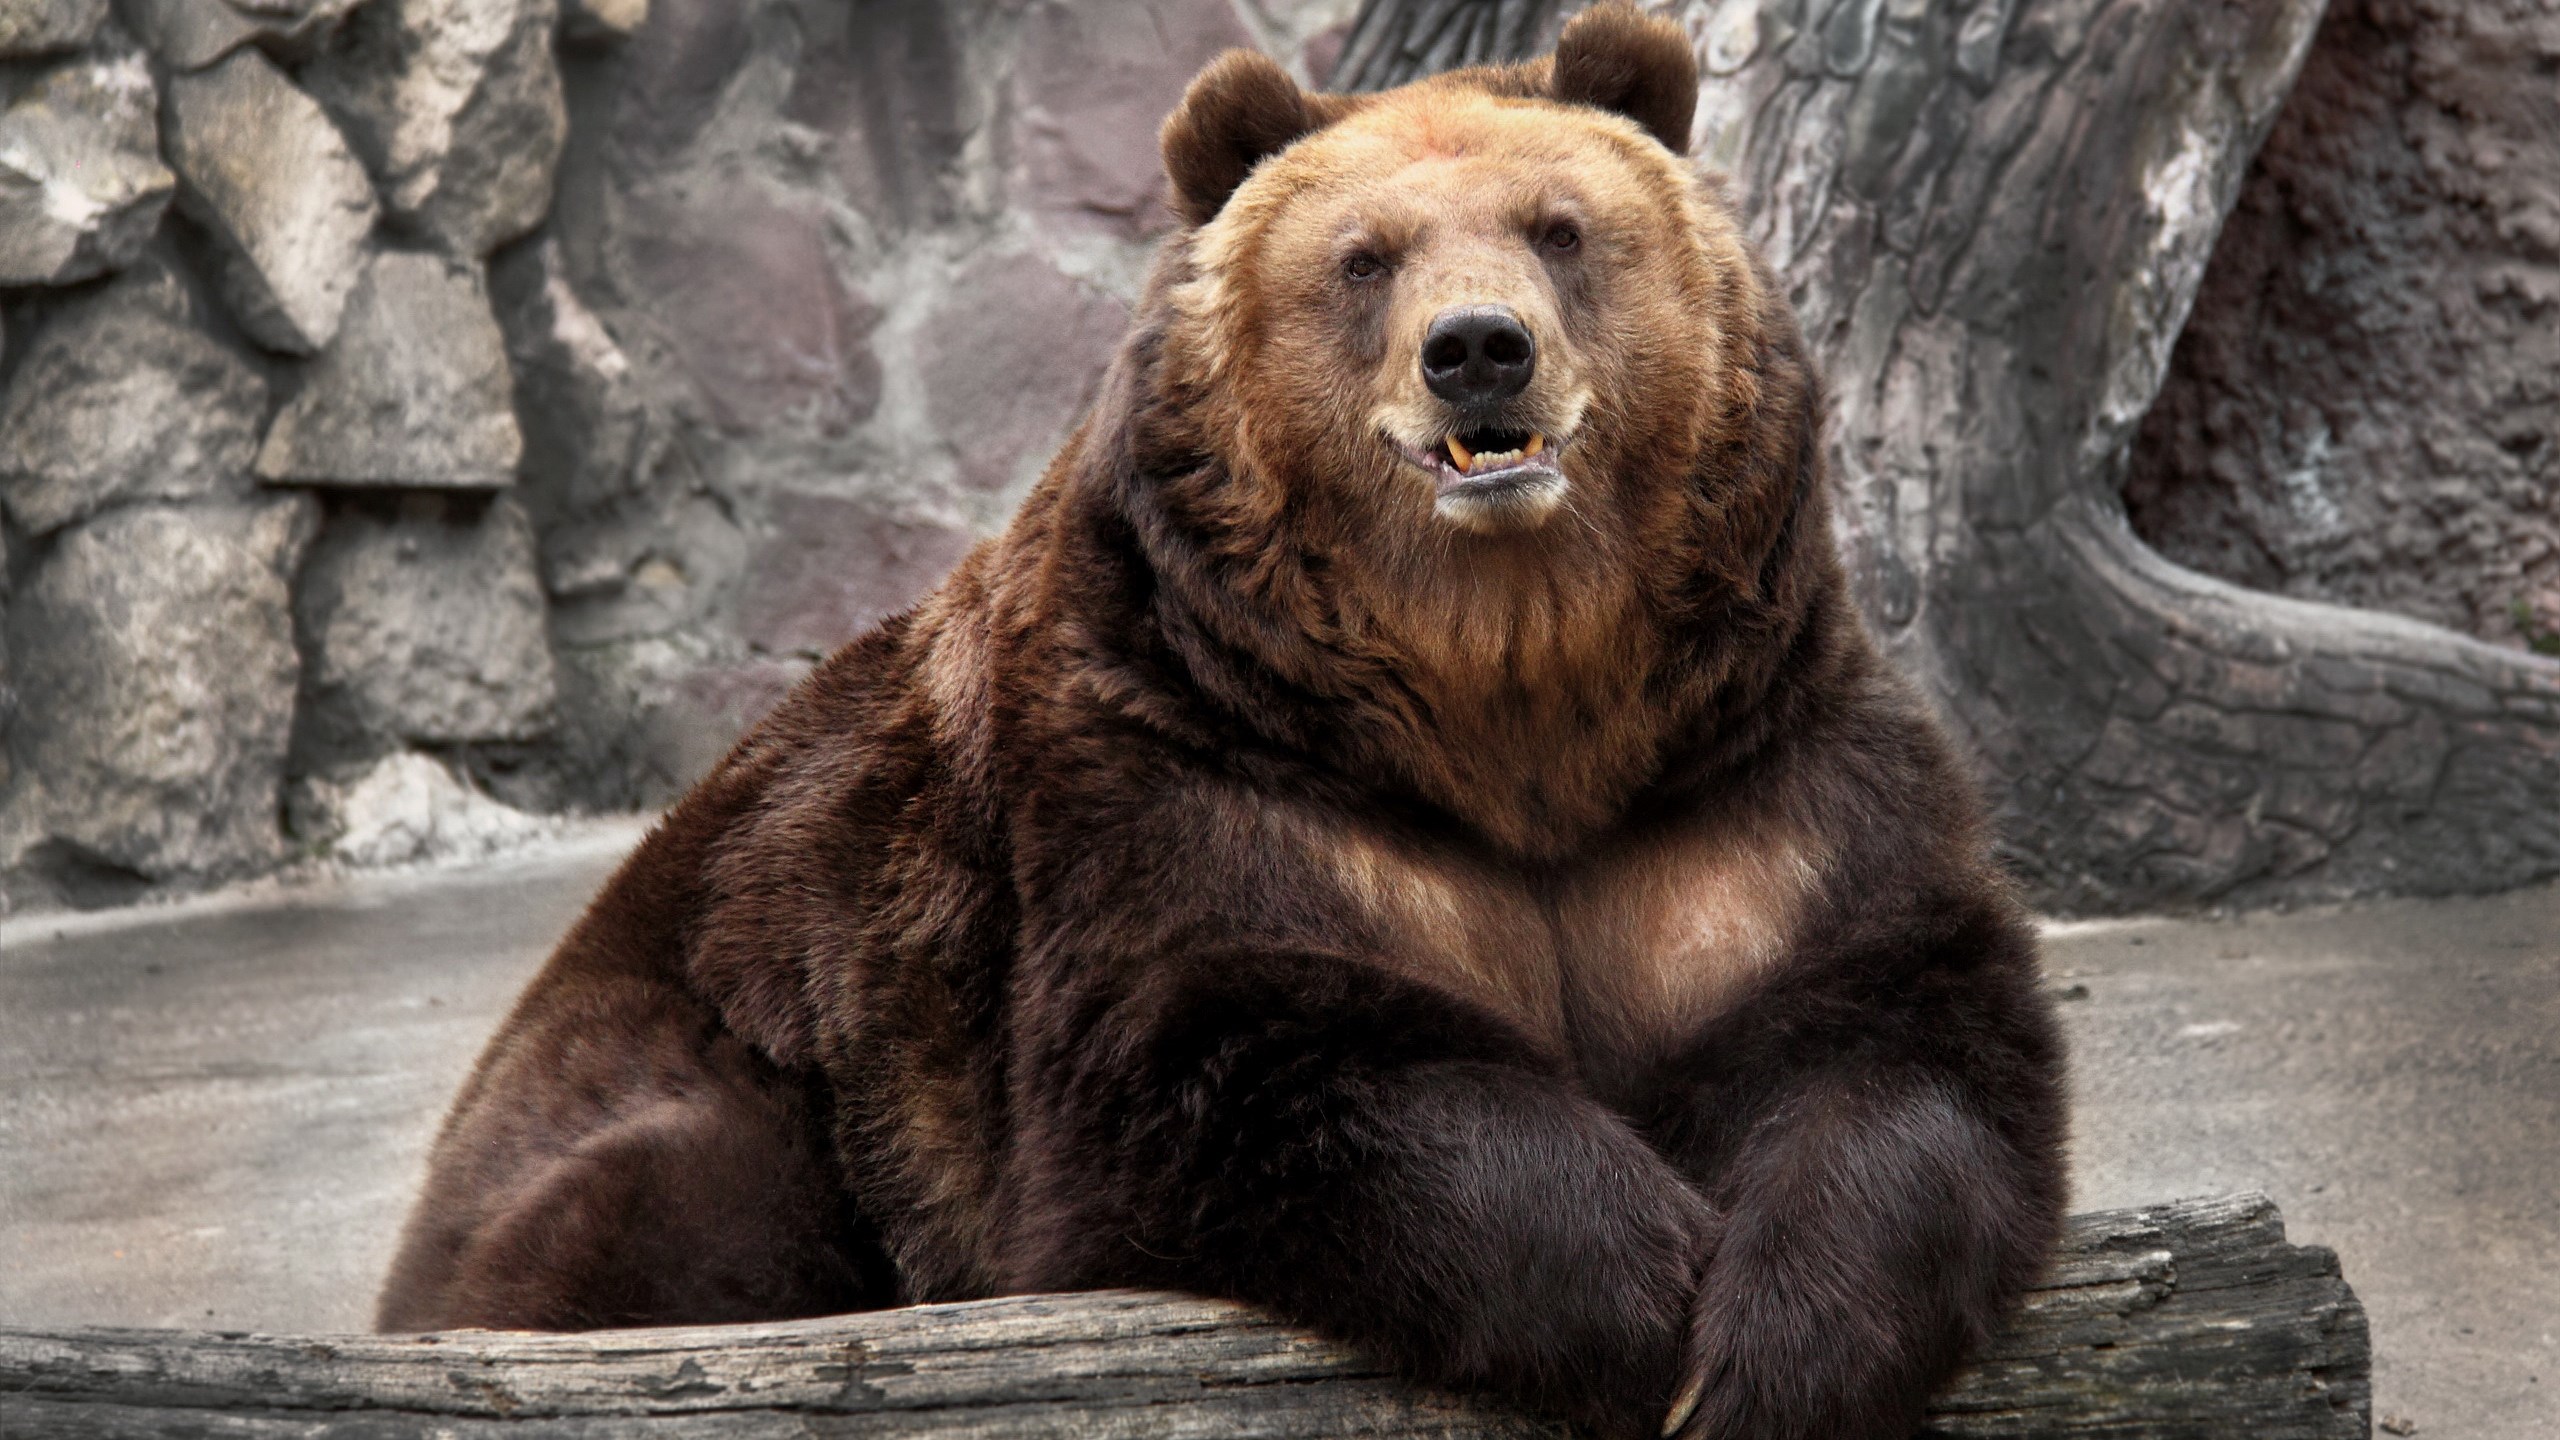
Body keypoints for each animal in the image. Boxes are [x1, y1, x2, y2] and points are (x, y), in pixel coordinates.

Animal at [375, 8, 2066, 1439]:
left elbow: (1895, 1033)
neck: (1512, 701)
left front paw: (1774, 1354)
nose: (1480, 347)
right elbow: (1254, 1058)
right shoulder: (1192, 769)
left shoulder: (1739, 781)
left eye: (1560, 228)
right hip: (728, 1057)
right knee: (659, 1216)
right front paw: (1648, 1301)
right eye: (1365, 259)